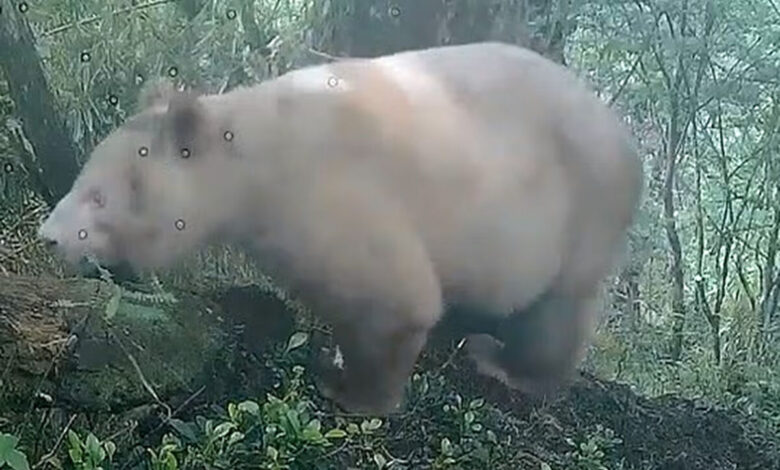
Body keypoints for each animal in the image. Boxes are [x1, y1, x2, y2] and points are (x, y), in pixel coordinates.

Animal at [38, 42, 643, 415]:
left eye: (98, 196)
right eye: (82, 176)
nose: (49, 236)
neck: (252, 155)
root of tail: (628, 144)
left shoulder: (326, 191)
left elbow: (392, 296)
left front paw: (349, 389)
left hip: (579, 209)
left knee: (556, 308)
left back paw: (505, 362)